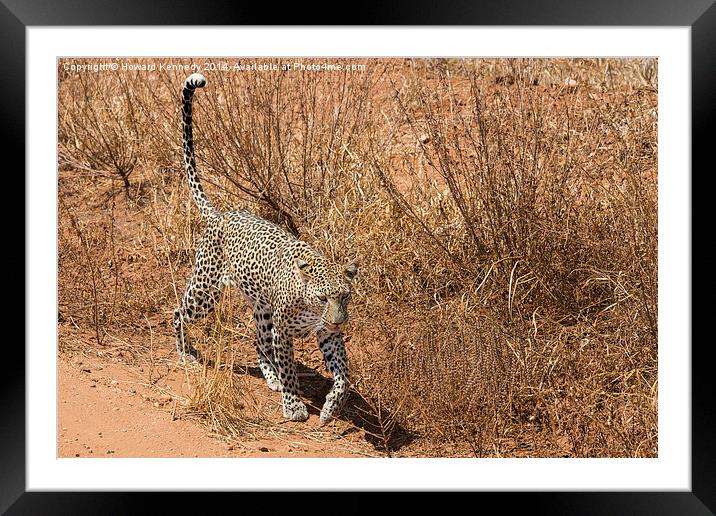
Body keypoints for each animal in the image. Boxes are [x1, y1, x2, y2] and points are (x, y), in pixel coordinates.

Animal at [173, 73, 358, 424]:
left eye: (344, 296)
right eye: (322, 297)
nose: (339, 320)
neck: (308, 305)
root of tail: (220, 214)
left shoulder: (328, 336)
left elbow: (343, 375)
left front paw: (331, 407)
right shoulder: (285, 332)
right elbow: (290, 369)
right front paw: (294, 406)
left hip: (262, 307)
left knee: (258, 340)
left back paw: (269, 376)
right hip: (207, 289)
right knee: (179, 313)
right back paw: (185, 353)